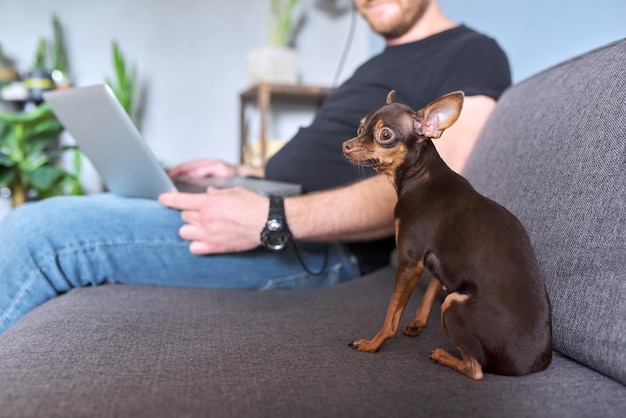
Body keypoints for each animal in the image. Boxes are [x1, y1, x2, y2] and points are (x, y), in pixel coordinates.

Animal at [342, 90, 552, 378]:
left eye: (385, 135)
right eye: (360, 128)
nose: (346, 145)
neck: (420, 177)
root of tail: (529, 366)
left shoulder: (409, 262)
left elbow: (392, 313)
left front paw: (374, 343)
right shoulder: (437, 263)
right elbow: (430, 293)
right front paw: (417, 324)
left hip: (454, 302)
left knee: (476, 369)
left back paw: (443, 355)